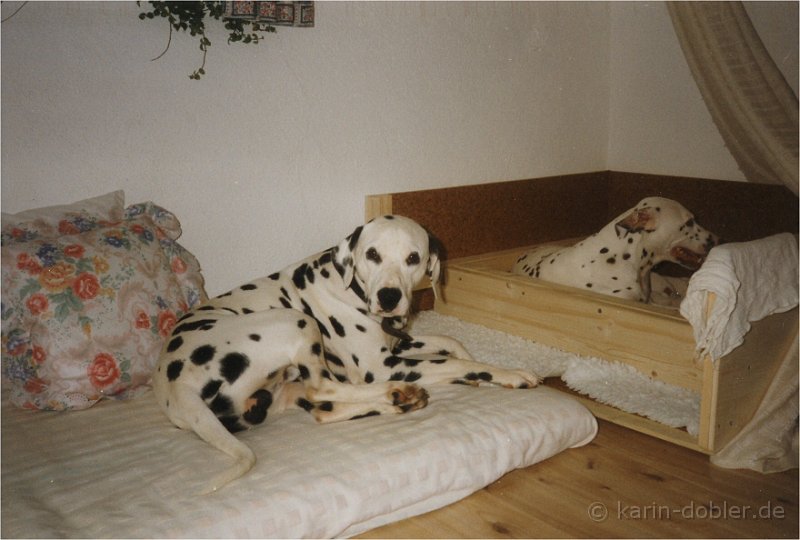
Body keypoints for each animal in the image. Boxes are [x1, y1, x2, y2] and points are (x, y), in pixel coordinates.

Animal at [153, 215, 540, 494]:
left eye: (413, 258)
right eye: (372, 254)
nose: (388, 296)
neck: (349, 286)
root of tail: (175, 388)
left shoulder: (399, 344)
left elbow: (452, 342)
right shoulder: (382, 366)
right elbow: (457, 361)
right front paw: (507, 373)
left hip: (285, 389)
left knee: (323, 410)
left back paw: (400, 400)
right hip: (296, 321)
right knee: (325, 388)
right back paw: (399, 393)